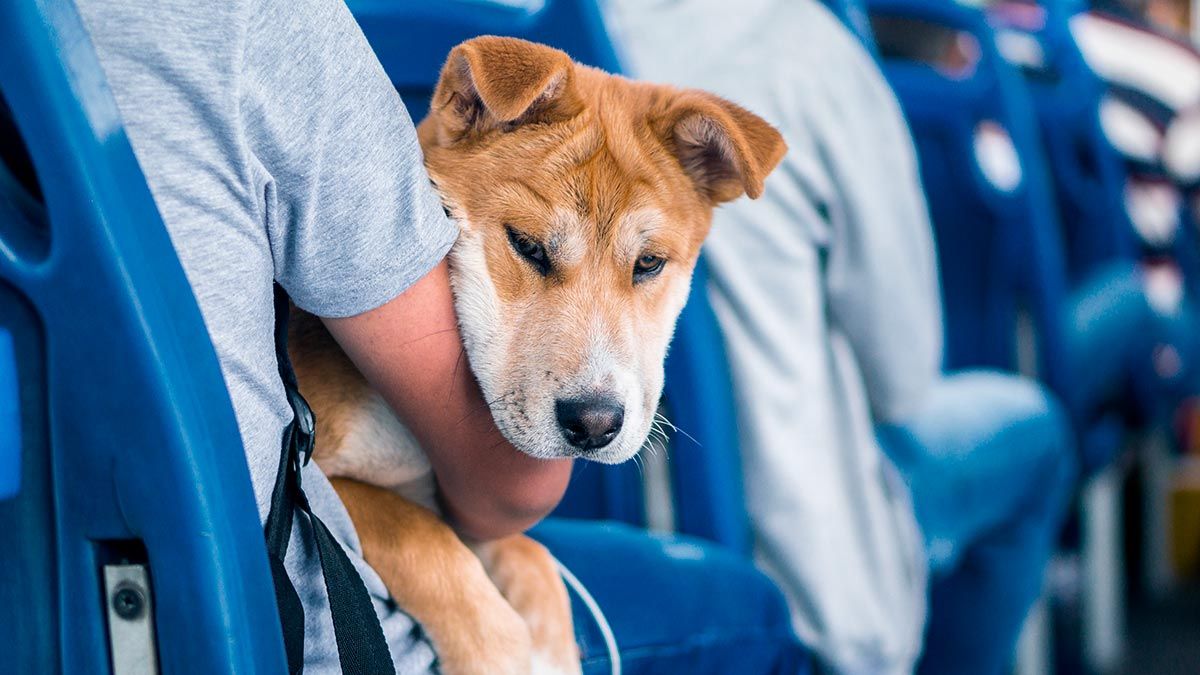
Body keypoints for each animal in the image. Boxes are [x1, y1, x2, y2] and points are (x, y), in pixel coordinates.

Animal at [285, 35, 782, 672]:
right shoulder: (327, 478)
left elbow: (532, 560)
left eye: (649, 263)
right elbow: (426, 542)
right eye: (528, 246)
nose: (594, 424)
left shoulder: (466, 502)